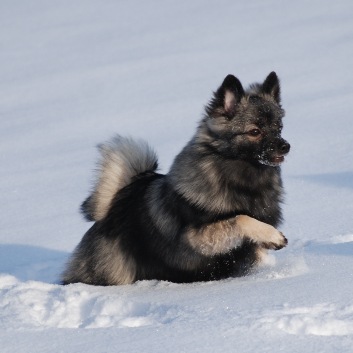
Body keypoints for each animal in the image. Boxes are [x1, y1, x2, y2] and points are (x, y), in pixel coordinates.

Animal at [61, 72, 288, 286]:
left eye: (279, 128)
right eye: (255, 131)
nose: (286, 146)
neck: (242, 181)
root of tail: (109, 208)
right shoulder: (194, 237)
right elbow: (240, 219)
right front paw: (273, 236)